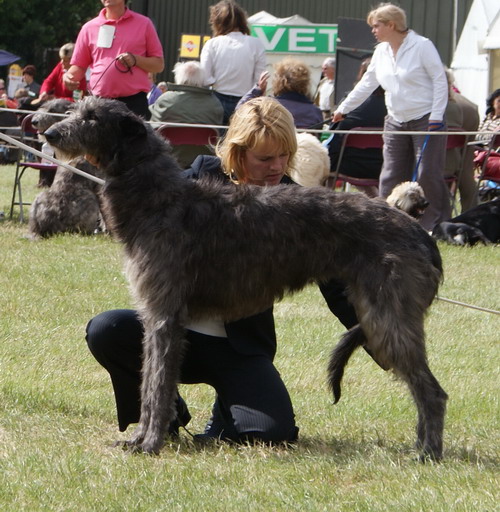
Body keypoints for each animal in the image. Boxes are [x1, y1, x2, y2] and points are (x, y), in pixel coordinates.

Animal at [44, 97, 450, 460]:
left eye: (93, 117)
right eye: (77, 110)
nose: (49, 132)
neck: (159, 197)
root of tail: (420, 233)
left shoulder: (163, 314)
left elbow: (157, 381)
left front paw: (149, 443)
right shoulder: (159, 316)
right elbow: (151, 379)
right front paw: (141, 437)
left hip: (388, 317)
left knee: (432, 391)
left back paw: (428, 452)